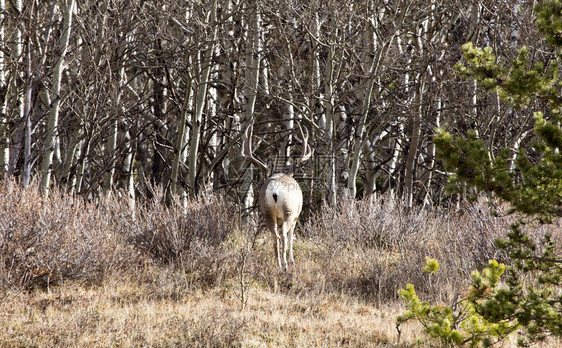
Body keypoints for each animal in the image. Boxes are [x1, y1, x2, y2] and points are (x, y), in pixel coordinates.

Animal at [241, 121, 310, 270]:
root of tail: (276, 190)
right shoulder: (296, 216)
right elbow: (291, 237)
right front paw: (292, 260)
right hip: (289, 210)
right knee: (283, 235)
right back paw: (285, 265)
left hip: (267, 211)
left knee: (275, 236)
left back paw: (278, 264)